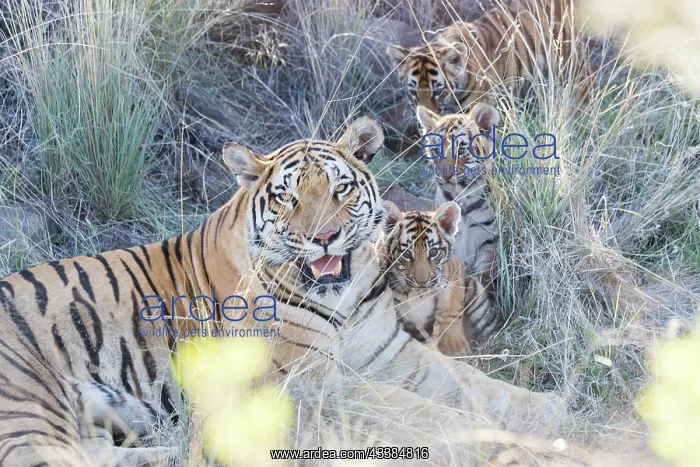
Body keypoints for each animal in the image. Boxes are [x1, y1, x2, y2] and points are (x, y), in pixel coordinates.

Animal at [379, 200, 501, 355]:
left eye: (433, 252)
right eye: (406, 253)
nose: (422, 281)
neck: (419, 293)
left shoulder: (454, 275)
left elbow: (449, 312)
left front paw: (454, 348)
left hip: (477, 298)